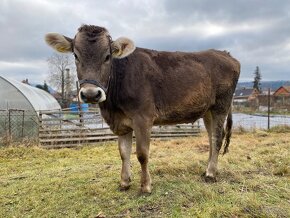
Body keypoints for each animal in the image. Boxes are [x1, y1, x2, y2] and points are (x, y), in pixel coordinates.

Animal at [45, 24, 240, 193]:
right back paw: (207, 169)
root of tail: (226, 54)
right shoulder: (121, 123)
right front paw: (124, 182)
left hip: (221, 105)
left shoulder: (143, 118)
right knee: (211, 138)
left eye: (107, 56)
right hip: (208, 110)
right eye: (76, 55)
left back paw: (210, 174)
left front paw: (145, 186)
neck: (113, 107)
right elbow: (123, 153)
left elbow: (142, 154)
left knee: (217, 138)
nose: (91, 94)